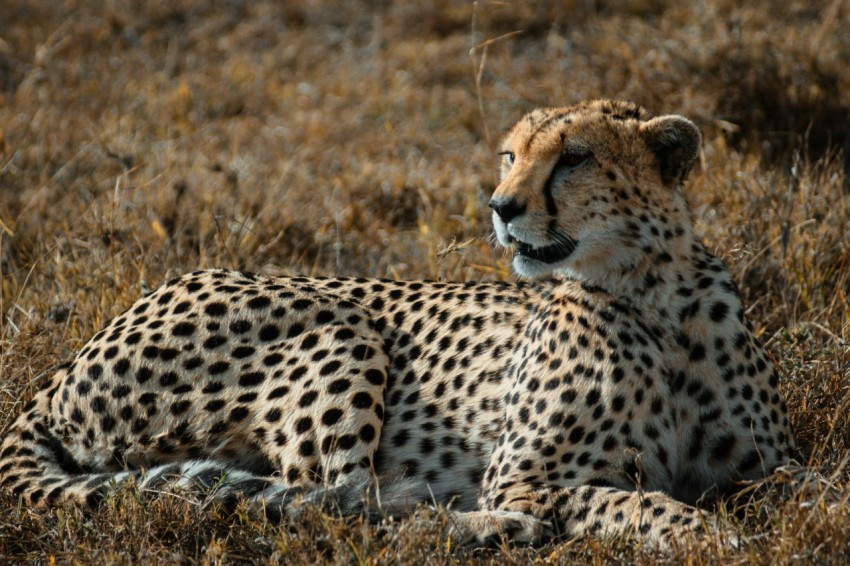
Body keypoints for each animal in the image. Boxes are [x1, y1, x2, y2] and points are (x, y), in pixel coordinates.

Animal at [0, 100, 796, 548]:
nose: (500, 206)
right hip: (343, 329)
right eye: (510, 154)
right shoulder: (521, 478)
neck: (655, 295)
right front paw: (708, 534)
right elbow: (631, 499)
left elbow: (807, 486)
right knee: (337, 507)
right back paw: (490, 529)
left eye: (573, 158)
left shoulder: (768, 465)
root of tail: (61, 372)